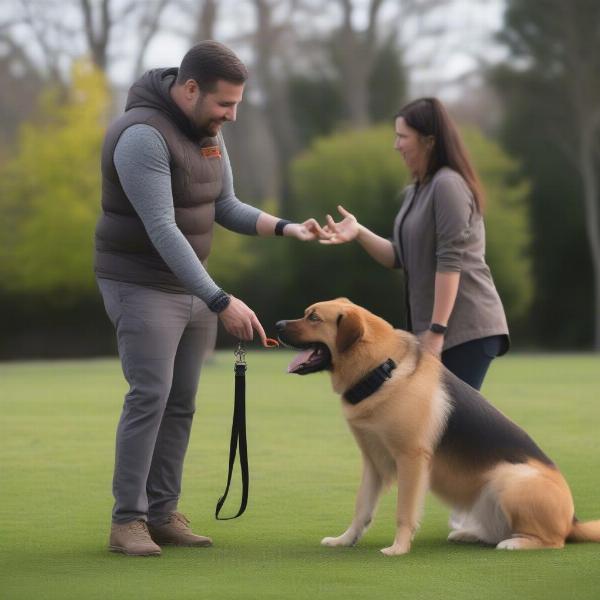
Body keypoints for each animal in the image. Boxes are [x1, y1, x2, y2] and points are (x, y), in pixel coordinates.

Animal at [276, 298, 600, 556]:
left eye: (314, 318)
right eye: (307, 314)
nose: (277, 324)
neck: (381, 369)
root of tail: (572, 520)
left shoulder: (411, 460)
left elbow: (404, 511)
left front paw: (398, 548)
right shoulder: (373, 463)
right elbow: (361, 509)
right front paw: (344, 540)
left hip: (510, 478)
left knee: (554, 541)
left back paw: (515, 543)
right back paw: (470, 534)